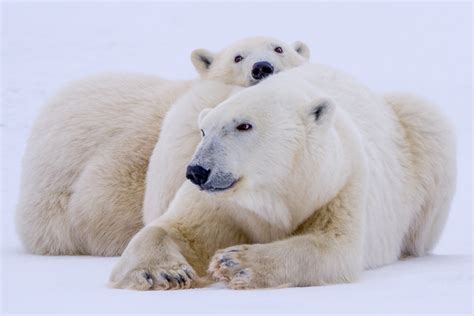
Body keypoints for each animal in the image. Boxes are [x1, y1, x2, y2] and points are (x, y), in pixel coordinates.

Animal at [110, 63, 456, 290]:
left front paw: (237, 262)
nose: (197, 171)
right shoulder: (220, 203)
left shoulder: (339, 182)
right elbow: (176, 228)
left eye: (244, 125)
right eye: (205, 130)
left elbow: (332, 247)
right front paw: (163, 272)